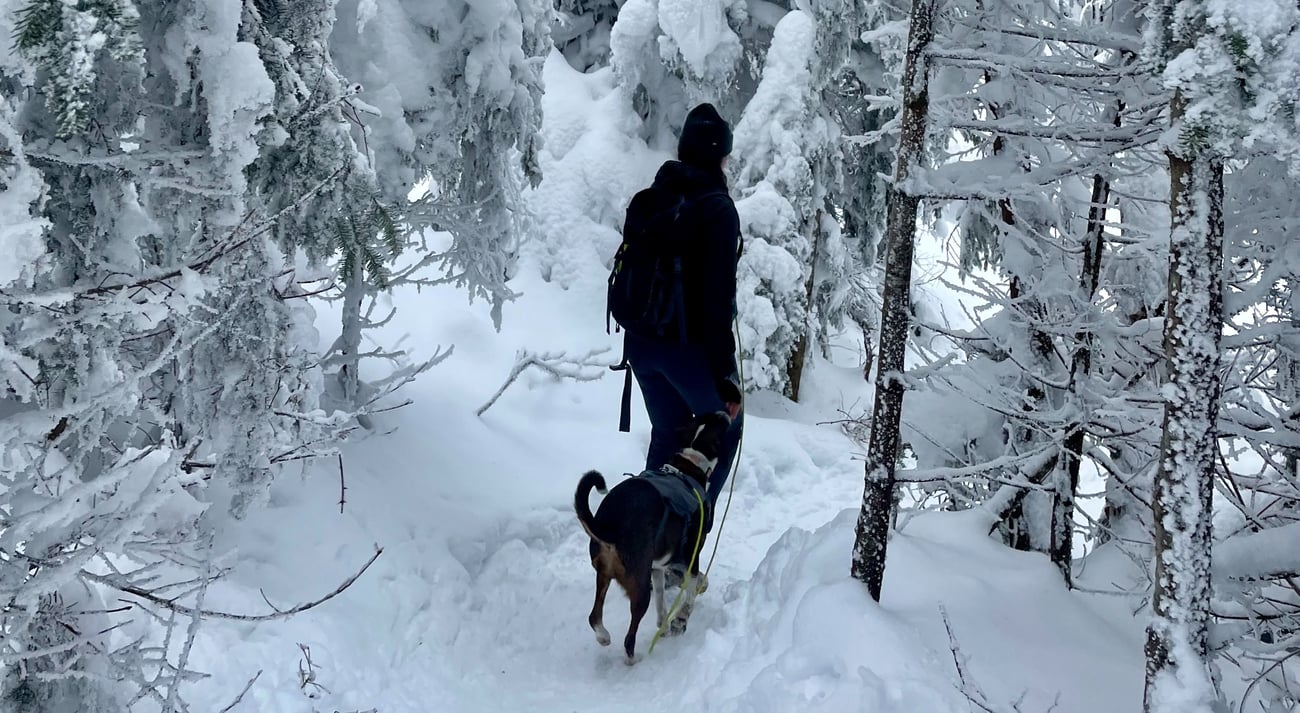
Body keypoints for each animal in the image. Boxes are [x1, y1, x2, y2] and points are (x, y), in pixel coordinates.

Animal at [577, 408, 733, 666]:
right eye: (718, 425)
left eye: (704, 416)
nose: (724, 411)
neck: (690, 463)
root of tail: (611, 524)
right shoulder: (691, 558)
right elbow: (691, 592)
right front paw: (680, 620)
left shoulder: (657, 567)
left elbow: (661, 598)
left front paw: (665, 624)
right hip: (639, 589)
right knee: (628, 638)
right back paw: (633, 658)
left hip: (604, 575)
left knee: (594, 617)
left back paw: (604, 636)